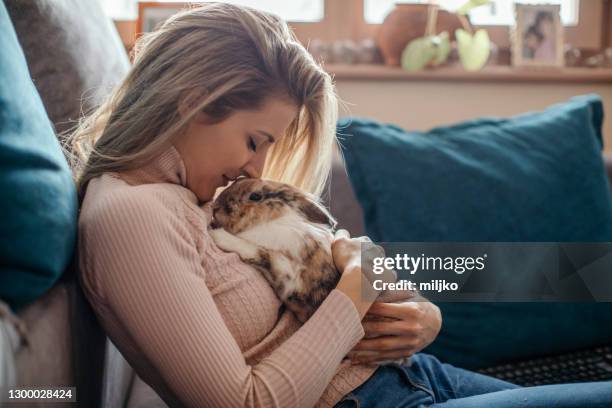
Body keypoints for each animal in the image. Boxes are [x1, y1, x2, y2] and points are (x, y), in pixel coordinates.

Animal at [207, 177, 340, 324]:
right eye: (239, 179)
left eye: (255, 196)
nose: (215, 207)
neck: (270, 221)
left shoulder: (289, 278)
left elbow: (258, 252)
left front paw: (217, 235)